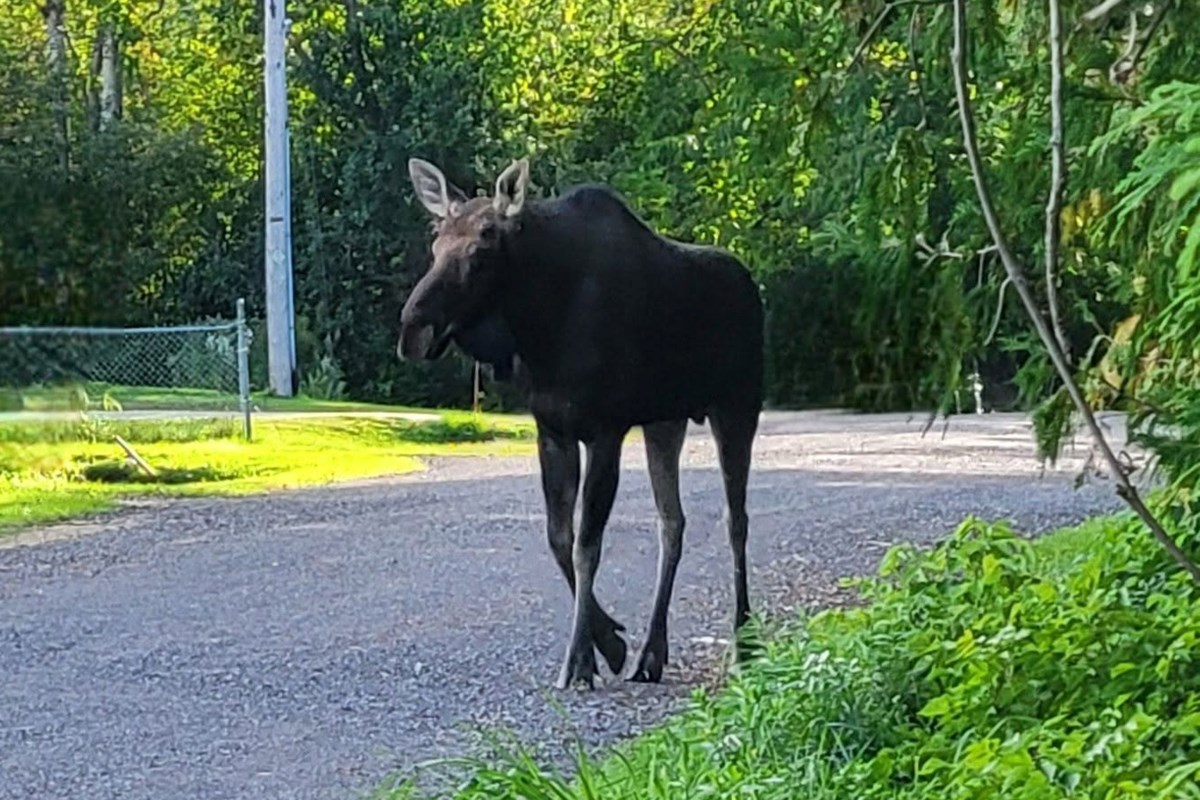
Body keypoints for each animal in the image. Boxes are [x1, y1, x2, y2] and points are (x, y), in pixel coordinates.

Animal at [398, 156, 764, 690]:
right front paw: (607, 644)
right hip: (666, 420)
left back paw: (744, 644)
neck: (538, 324)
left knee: (736, 520)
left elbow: (586, 545)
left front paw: (578, 660)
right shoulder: (553, 430)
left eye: (483, 245)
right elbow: (559, 539)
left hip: (737, 406)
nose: (413, 328)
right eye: (436, 240)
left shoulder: (604, 430)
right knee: (672, 521)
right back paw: (652, 652)